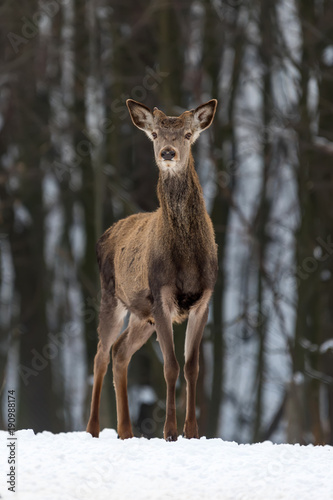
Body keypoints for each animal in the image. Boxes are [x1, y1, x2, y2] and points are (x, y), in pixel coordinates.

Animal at [85, 97, 218, 442]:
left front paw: (192, 432)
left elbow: (192, 367)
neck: (187, 262)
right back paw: (93, 429)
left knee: (120, 352)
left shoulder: (204, 301)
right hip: (111, 295)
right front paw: (169, 431)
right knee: (101, 354)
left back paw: (126, 431)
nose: (167, 153)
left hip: (141, 313)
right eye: (156, 134)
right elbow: (170, 366)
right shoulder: (162, 295)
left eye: (187, 134)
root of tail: (105, 234)